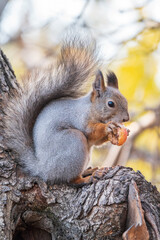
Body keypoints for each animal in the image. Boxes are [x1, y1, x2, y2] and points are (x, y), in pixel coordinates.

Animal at [3, 36, 129, 186]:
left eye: (126, 101)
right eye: (110, 104)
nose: (126, 119)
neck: (90, 109)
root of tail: (43, 169)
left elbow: (97, 142)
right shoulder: (80, 119)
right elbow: (91, 131)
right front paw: (108, 127)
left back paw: (89, 171)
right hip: (74, 142)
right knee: (71, 179)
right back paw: (86, 178)